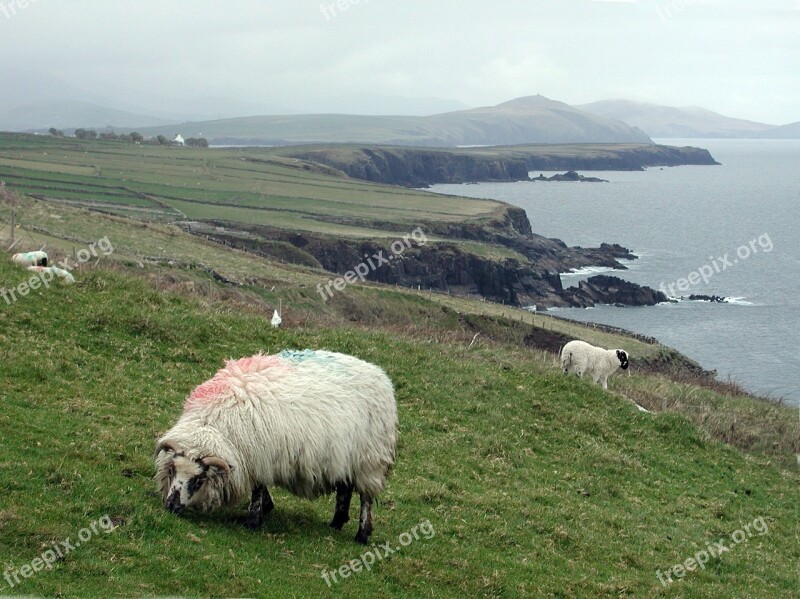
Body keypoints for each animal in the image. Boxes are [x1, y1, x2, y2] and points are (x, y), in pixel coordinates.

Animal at [155, 350, 396, 548]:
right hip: (346, 457)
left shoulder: (259, 455)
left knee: (365, 499)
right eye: (172, 470)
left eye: (198, 480)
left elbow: (257, 489)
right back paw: (336, 523)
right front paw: (267, 507)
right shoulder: (256, 457)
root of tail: (380, 374)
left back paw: (362, 535)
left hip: (371, 459)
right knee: (345, 489)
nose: (171, 507)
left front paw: (253, 520)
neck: (215, 423)